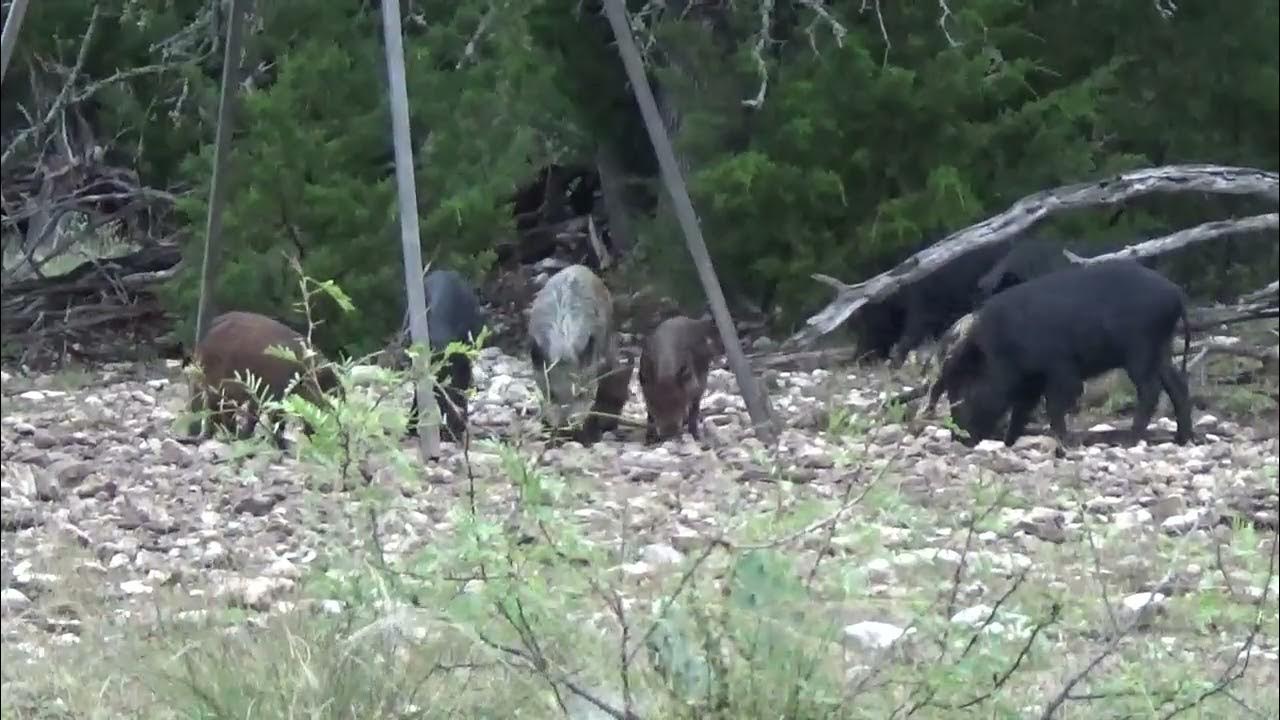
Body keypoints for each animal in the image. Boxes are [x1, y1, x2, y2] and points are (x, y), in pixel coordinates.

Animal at [638, 314, 722, 443]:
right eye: (653, 404)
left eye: (680, 402)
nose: (669, 434)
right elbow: (650, 416)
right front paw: (649, 439)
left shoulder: (695, 387)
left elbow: (694, 409)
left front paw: (695, 436)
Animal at [931, 260, 1194, 454]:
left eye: (966, 387)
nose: (957, 437)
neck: (1002, 349)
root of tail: (1176, 293)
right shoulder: (1031, 382)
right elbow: (1021, 411)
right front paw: (1009, 442)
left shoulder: (1060, 370)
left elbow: (1055, 407)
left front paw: (1064, 443)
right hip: (1161, 349)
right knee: (1178, 385)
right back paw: (1182, 439)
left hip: (1140, 350)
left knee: (1151, 390)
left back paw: (1129, 440)